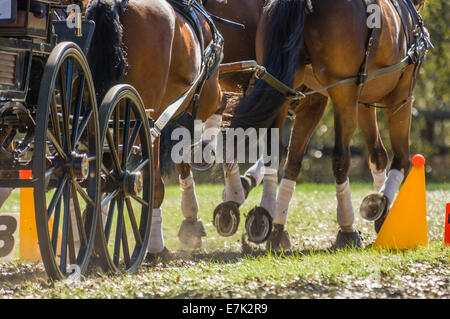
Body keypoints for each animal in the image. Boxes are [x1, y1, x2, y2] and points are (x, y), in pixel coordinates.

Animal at [230, 0, 430, 250]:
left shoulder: (362, 101)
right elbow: (401, 157)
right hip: (343, 91)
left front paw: (383, 215)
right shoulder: (401, 96)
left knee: (278, 156)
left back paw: (271, 226)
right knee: (340, 158)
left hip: (282, 88)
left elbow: (377, 155)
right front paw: (380, 205)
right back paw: (347, 228)